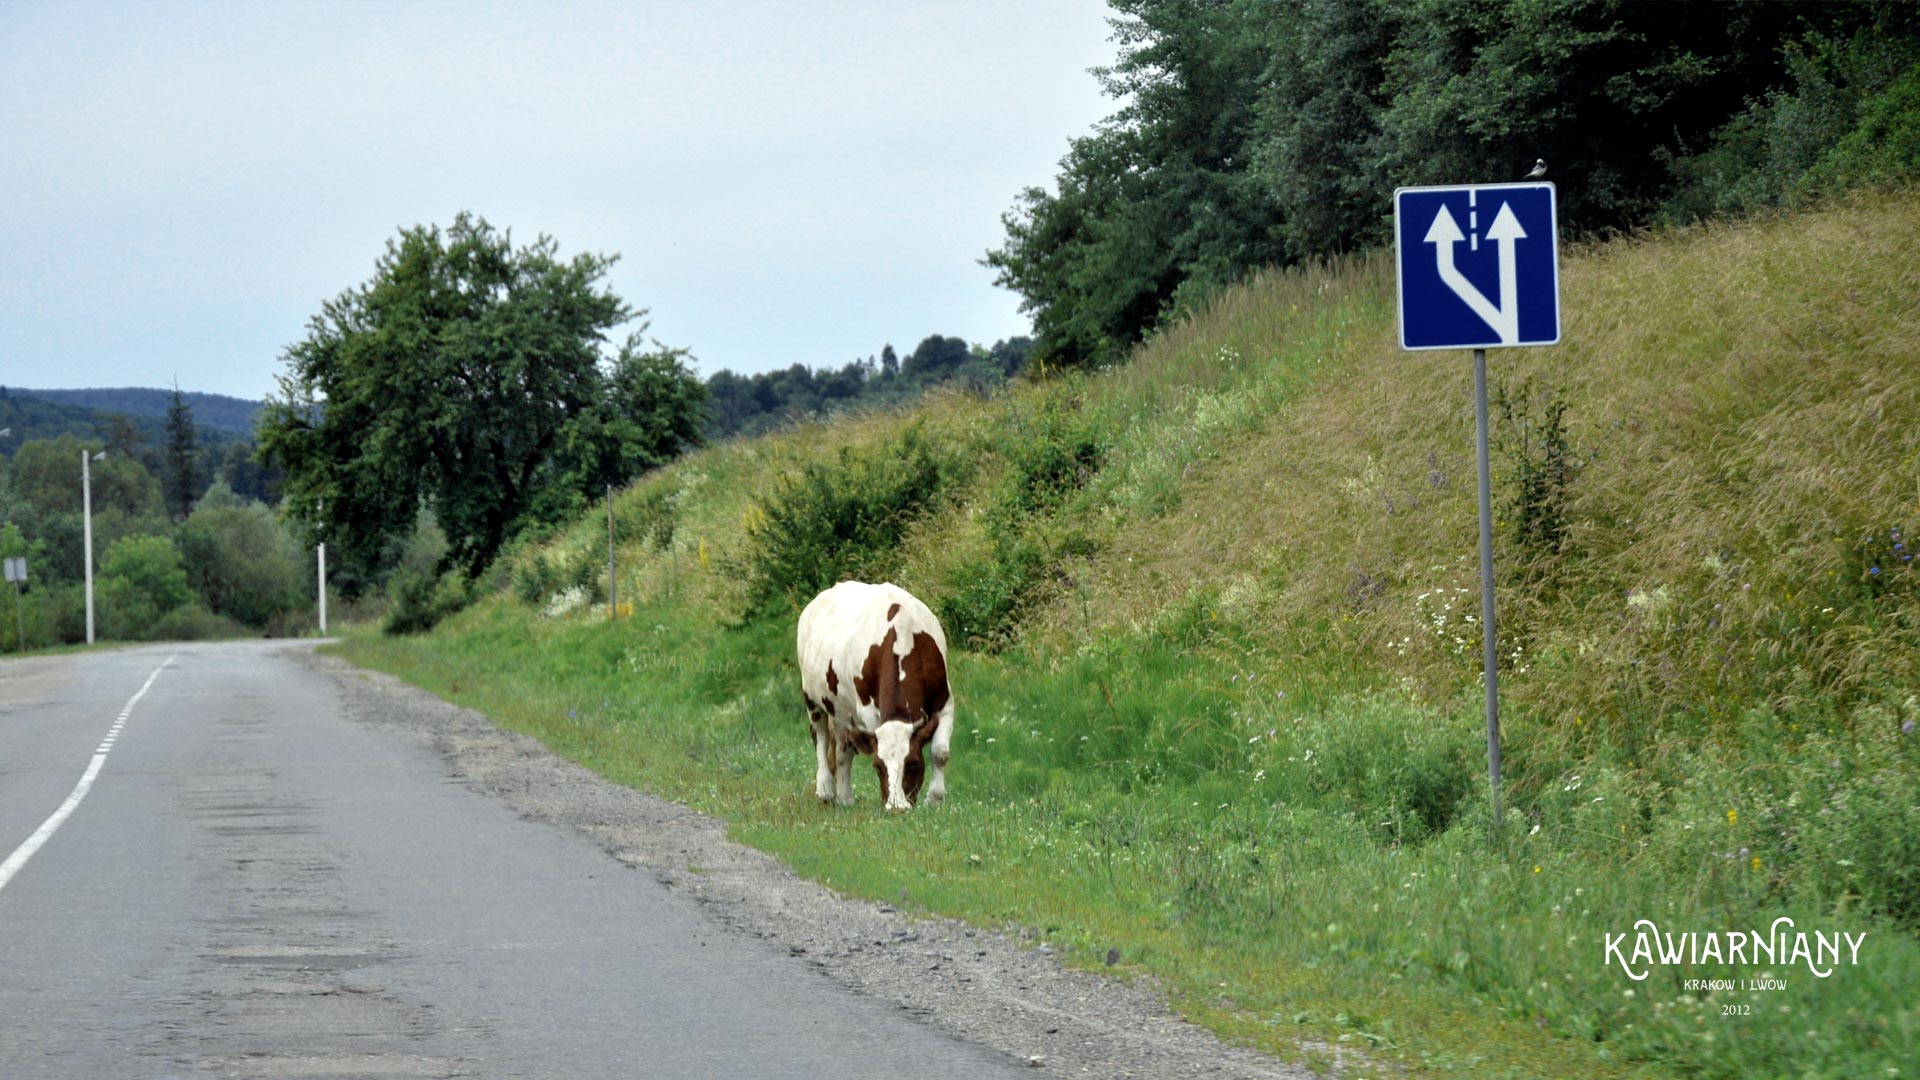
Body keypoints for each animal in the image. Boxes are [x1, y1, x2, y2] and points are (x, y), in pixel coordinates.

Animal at [794, 580, 952, 807]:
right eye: (878, 766)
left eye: (913, 763)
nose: (896, 807)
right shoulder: (868, 713)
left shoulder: (944, 703)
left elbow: (940, 752)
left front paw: (934, 799)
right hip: (812, 698)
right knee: (820, 738)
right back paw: (825, 790)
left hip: (842, 711)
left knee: (842, 750)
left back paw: (845, 798)